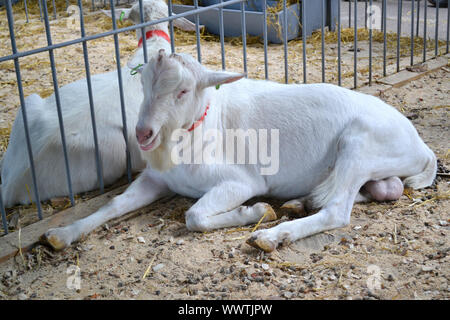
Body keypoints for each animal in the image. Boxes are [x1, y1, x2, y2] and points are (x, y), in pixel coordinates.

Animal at [41, 50, 436, 252]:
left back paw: (272, 236)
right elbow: (114, 205)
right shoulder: (156, 180)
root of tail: (422, 146)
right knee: (382, 190)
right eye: (143, 84)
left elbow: (195, 216)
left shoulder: (240, 181)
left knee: (338, 209)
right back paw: (299, 203)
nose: (143, 133)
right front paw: (63, 234)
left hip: (359, 143)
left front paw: (257, 211)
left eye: (183, 91)